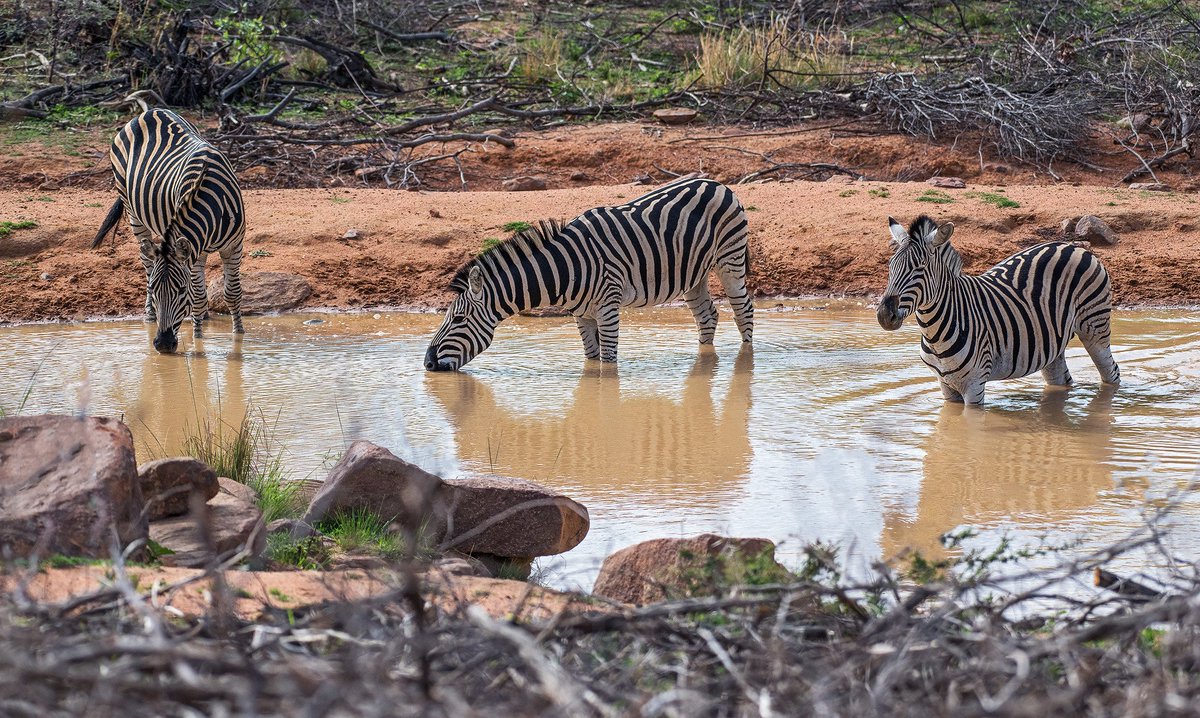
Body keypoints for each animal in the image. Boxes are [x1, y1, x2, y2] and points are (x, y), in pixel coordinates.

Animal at [91, 108, 245, 353]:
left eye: (181, 290)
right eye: (154, 289)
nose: (163, 344)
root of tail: (149, 112)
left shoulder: (234, 245)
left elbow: (232, 294)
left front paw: (238, 336)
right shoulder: (195, 250)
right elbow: (198, 297)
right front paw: (198, 339)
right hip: (132, 211)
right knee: (147, 261)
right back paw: (150, 315)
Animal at [424, 176, 753, 371]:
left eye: (458, 319)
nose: (427, 363)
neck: (565, 270)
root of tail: (716, 182)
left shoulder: (608, 307)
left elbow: (607, 363)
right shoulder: (581, 314)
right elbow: (591, 359)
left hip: (730, 257)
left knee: (743, 309)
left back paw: (746, 358)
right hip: (692, 274)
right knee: (707, 315)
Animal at [877, 215, 1120, 404]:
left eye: (920, 268)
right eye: (890, 266)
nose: (884, 316)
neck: (935, 333)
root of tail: (1072, 246)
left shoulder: (975, 385)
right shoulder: (945, 385)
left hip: (1095, 327)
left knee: (1112, 372)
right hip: (1051, 344)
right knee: (1062, 380)